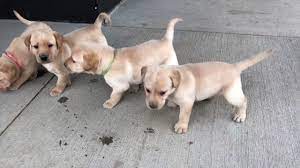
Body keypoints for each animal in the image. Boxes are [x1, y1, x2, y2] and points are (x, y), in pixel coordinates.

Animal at [142, 49, 274, 133]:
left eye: (162, 92)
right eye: (147, 90)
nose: (152, 106)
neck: (177, 85)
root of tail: (234, 66)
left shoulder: (187, 103)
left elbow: (183, 115)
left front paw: (181, 126)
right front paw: (172, 103)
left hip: (231, 95)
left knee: (244, 100)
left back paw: (240, 115)